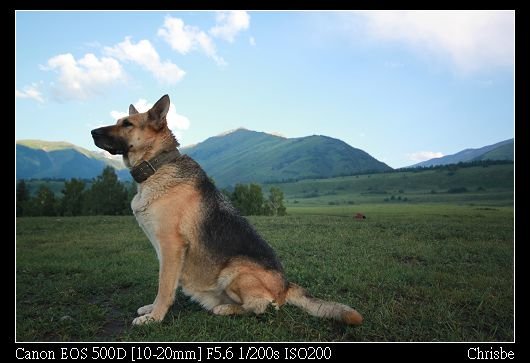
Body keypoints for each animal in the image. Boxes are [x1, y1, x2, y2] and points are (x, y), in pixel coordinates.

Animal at [92, 94, 364, 328]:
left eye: (127, 124)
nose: (92, 132)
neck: (156, 166)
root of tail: (287, 285)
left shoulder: (171, 246)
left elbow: (164, 286)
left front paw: (154, 317)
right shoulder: (165, 251)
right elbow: (165, 284)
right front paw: (151, 309)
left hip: (235, 271)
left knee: (263, 306)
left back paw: (224, 309)